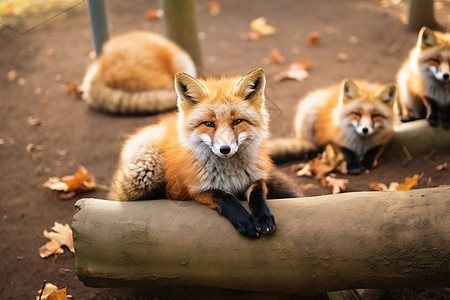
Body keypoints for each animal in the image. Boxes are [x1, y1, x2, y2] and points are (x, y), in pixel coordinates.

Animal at [109, 69, 298, 238]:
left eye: (237, 121)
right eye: (209, 124)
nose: (225, 149)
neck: (231, 174)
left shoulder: (256, 178)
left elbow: (257, 195)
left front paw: (263, 218)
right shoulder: (197, 190)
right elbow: (226, 197)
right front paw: (245, 222)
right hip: (145, 172)